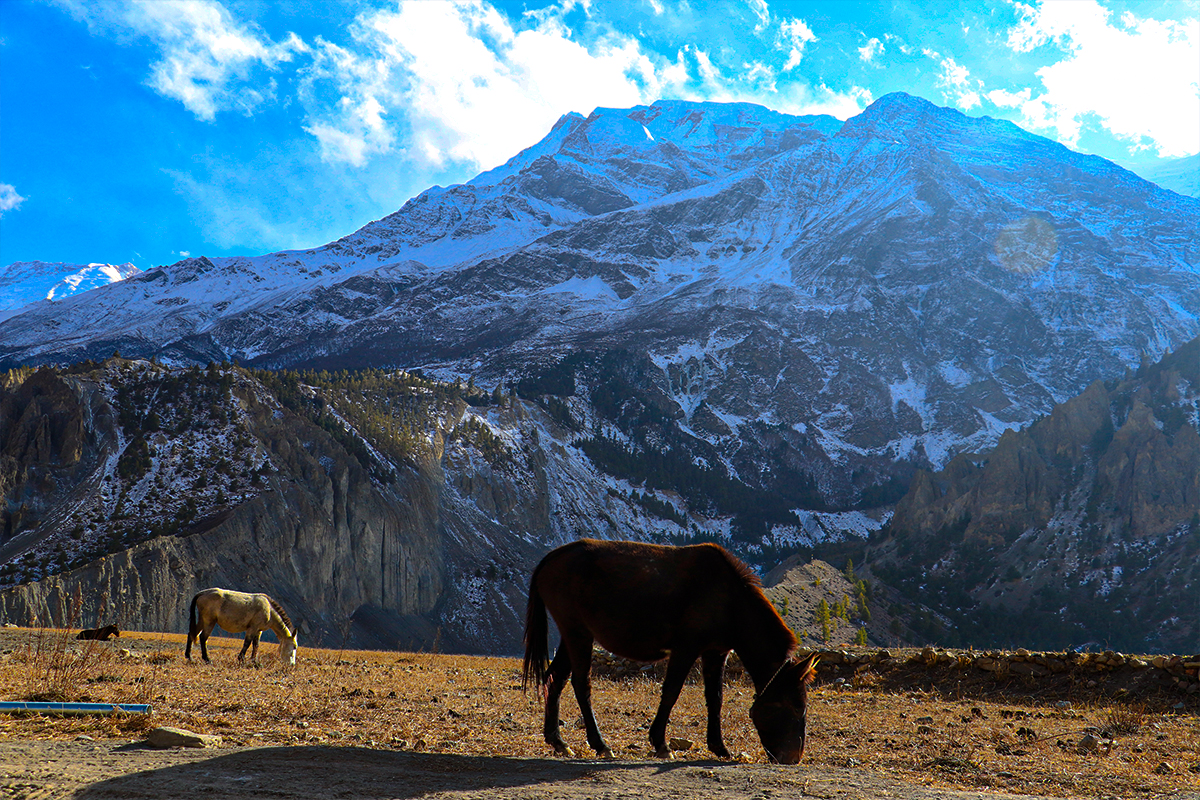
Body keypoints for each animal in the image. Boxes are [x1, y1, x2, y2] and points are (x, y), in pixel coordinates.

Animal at [523, 537, 816, 762]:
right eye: (794, 708)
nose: (792, 758)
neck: (730, 600)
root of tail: (552, 558)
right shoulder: (686, 648)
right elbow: (672, 691)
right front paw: (661, 744)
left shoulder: (715, 652)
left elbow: (715, 698)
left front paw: (719, 747)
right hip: (578, 633)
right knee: (580, 684)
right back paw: (600, 744)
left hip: (572, 634)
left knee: (555, 678)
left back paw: (558, 741)